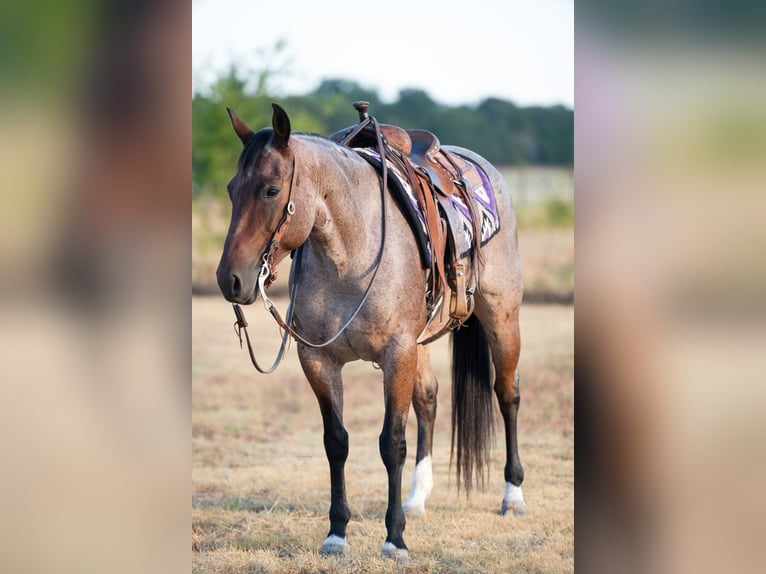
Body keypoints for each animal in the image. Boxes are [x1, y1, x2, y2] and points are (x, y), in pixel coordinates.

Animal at [216, 103, 526, 563]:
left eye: (271, 190)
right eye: (232, 189)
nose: (230, 279)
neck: (350, 251)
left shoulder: (396, 355)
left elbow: (391, 443)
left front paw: (394, 539)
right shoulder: (319, 360)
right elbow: (336, 442)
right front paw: (336, 534)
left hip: (502, 319)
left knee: (507, 395)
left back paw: (512, 495)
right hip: (421, 343)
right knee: (428, 400)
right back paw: (416, 499)